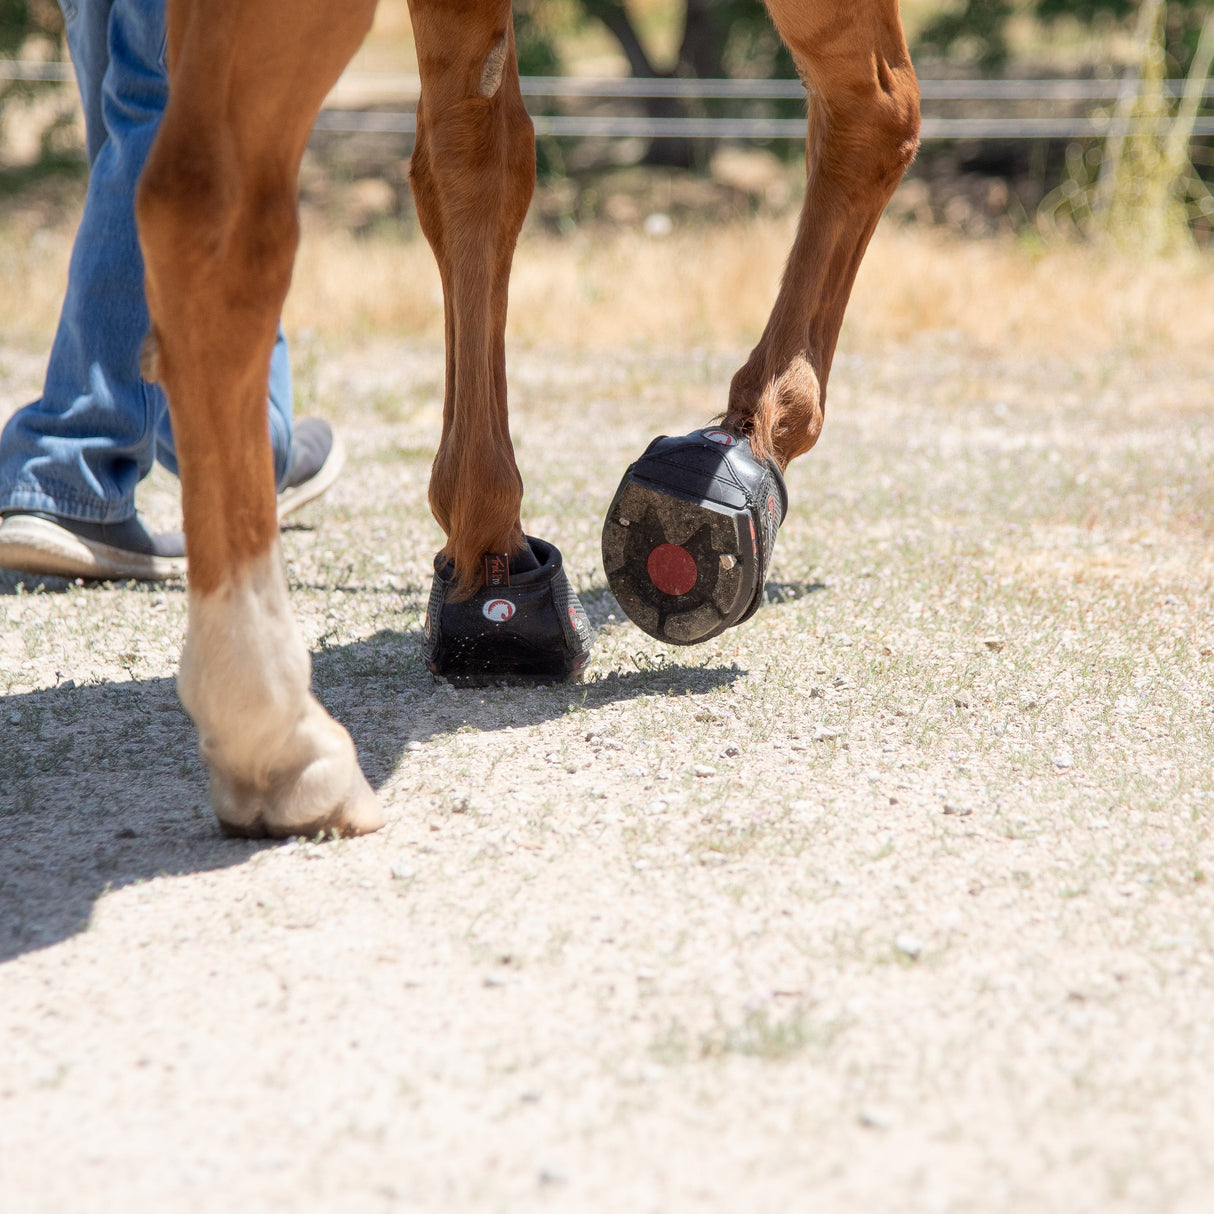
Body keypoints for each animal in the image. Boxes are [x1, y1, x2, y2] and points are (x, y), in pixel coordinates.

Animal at [134, 0, 920, 838]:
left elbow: (477, 157)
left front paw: (486, 543)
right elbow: (877, 111)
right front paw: (766, 425)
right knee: (217, 219)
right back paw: (274, 731)